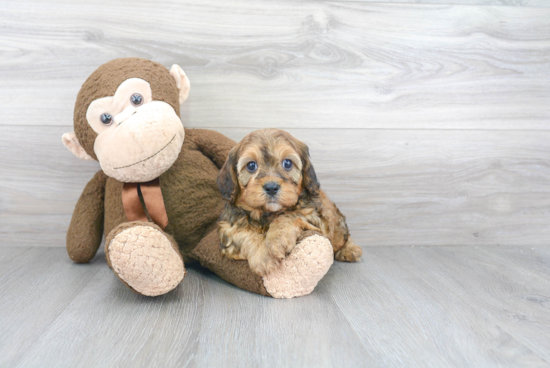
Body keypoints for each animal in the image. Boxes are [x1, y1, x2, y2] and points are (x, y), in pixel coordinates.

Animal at [218, 129, 364, 276]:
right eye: (251, 165)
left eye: (287, 163)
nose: (271, 187)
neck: (267, 214)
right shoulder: (228, 226)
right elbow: (243, 232)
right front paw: (263, 257)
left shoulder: (313, 215)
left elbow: (289, 215)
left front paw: (277, 240)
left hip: (338, 226)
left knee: (343, 237)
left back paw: (350, 250)